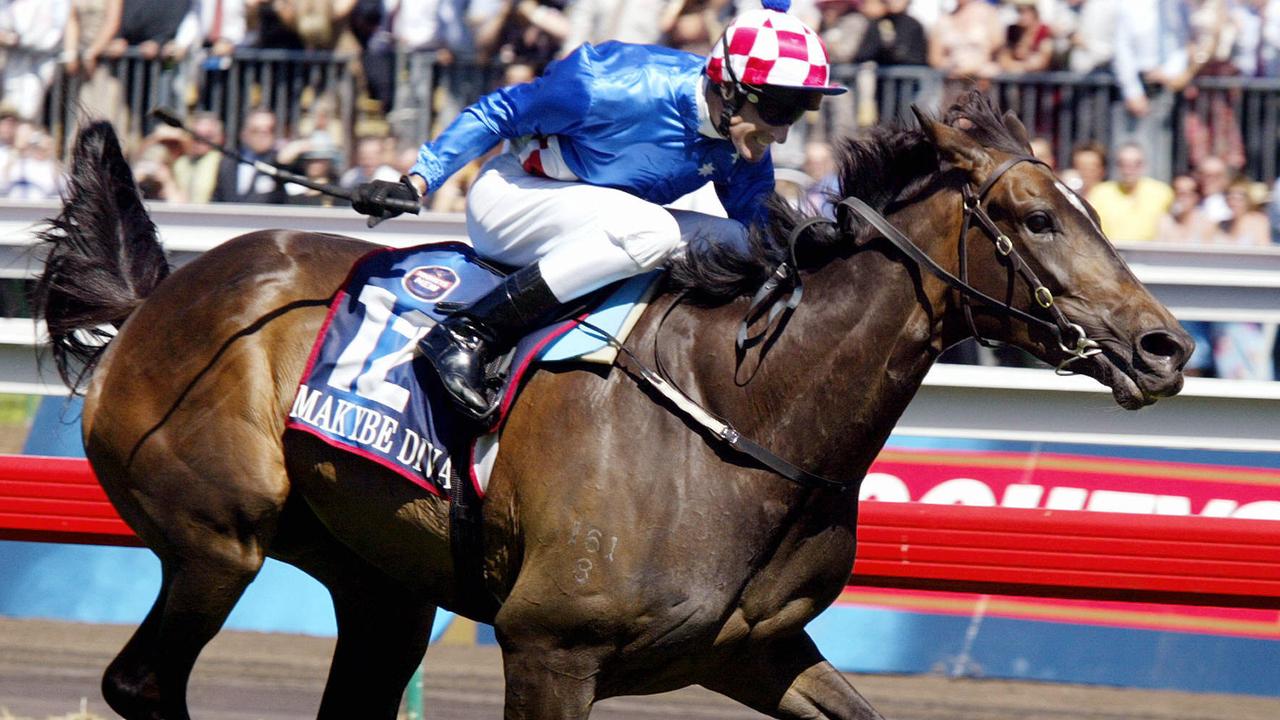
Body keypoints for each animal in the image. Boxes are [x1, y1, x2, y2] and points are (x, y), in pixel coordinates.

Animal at [32, 90, 1187, 717]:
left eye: (1091, 205)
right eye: (1037, 218)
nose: (1164, 346)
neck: (742, 416)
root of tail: (163, 294)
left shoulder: (753, 649)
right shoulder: (551, 649)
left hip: (377, 582)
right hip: (215, 539)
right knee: (142, 682)